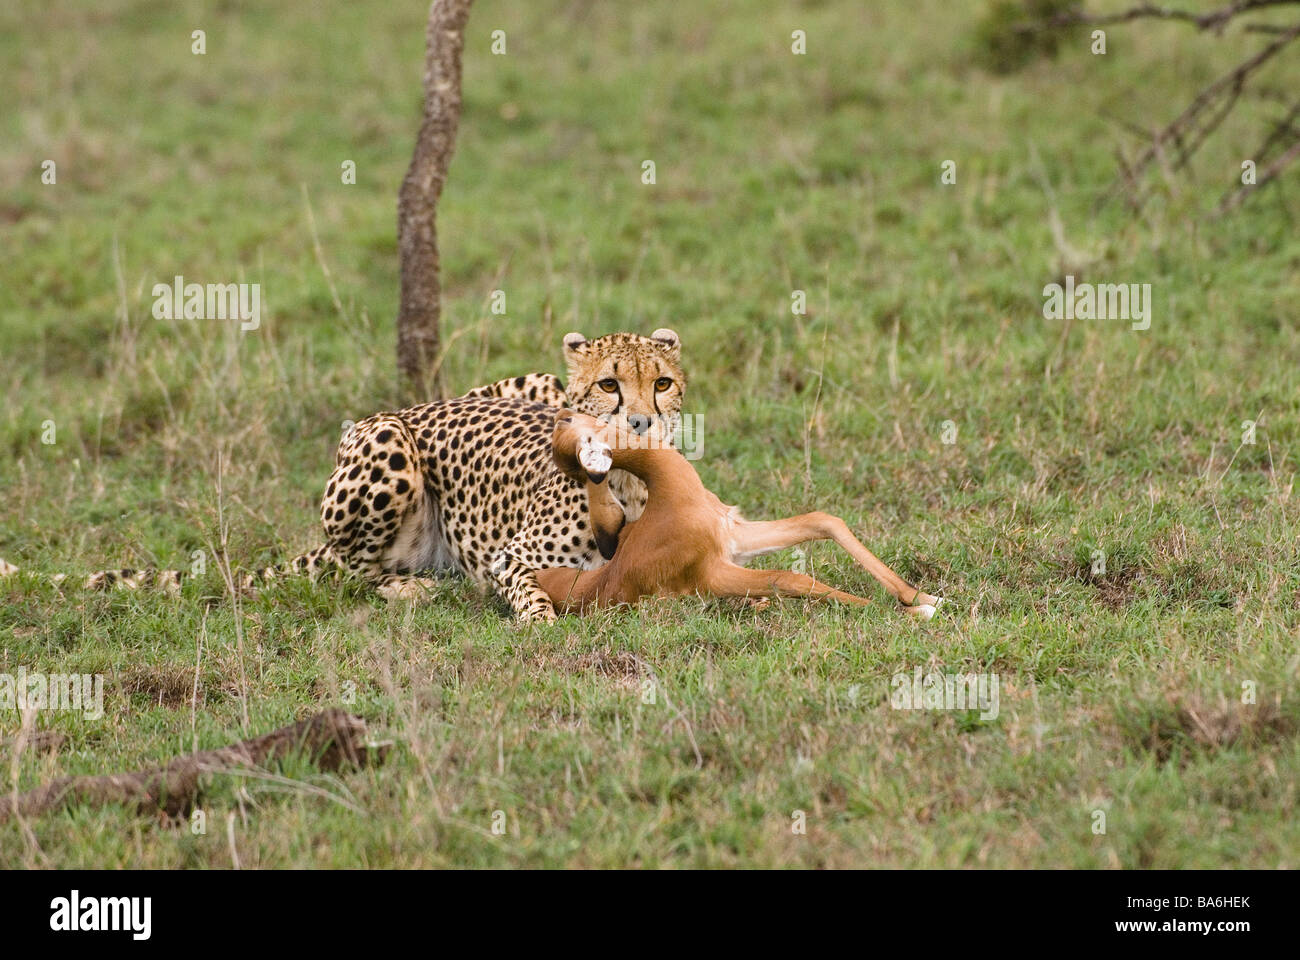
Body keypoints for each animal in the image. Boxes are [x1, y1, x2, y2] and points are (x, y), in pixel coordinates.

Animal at [0, 329, 686, 621]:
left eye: (662, 382)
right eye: (609, 384)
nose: (642, 421)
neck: (628, 482)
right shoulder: (511, 556)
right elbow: (528, 592)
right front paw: (539, 623)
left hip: (533, 383)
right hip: (387, 442)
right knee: (350, 574)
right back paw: (416, 589)